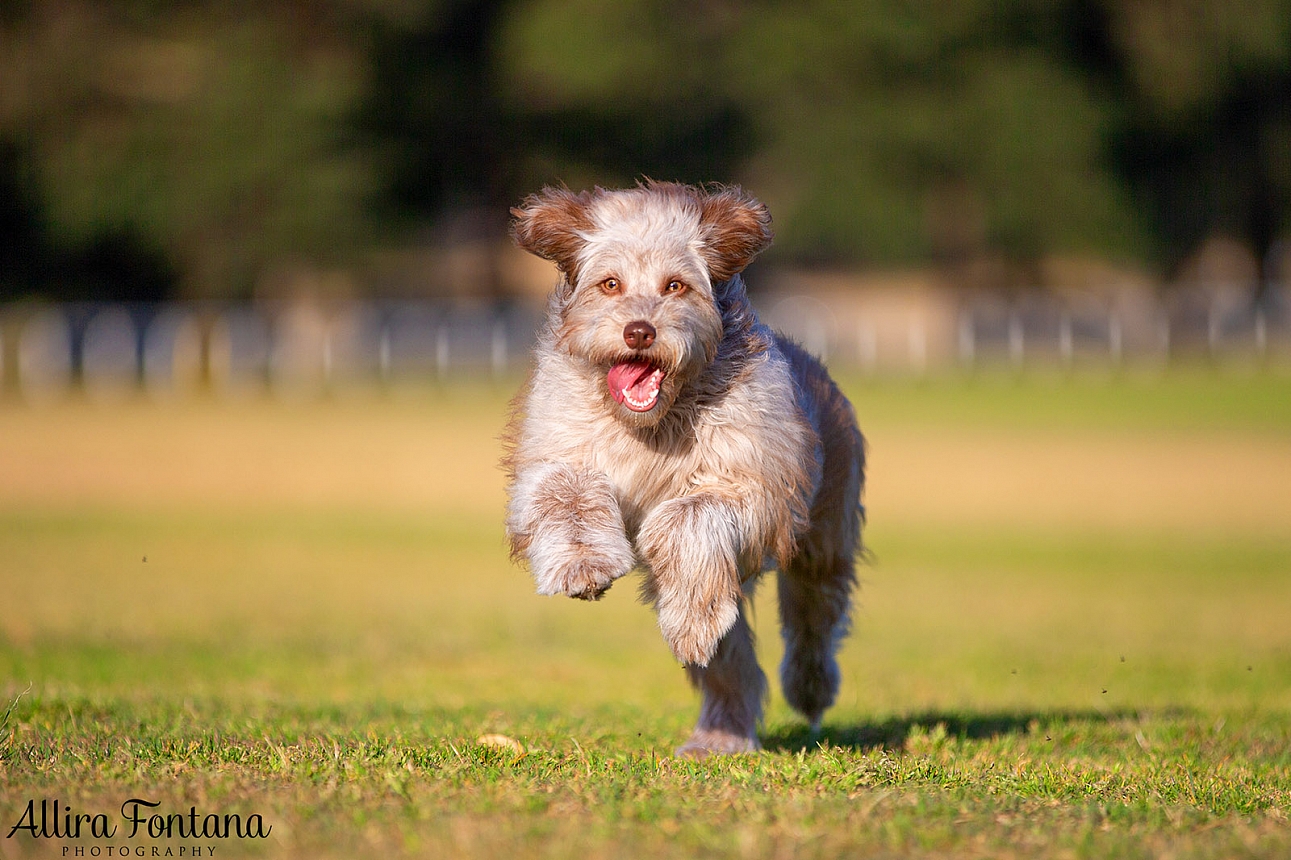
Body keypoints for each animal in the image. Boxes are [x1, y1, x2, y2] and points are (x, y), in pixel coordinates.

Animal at [503, 179, 867, 748]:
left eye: (675, 286)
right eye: (610, 284)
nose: (639, 331)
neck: (652, 425)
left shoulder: (754, 485)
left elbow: (687, 516)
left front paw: (691, 618)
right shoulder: (557, 449)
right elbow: (567, 488)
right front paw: (584, 564)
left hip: (824, 535)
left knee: (813, 613)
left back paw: (807, 685)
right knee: (731, 660)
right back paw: (721, 733)